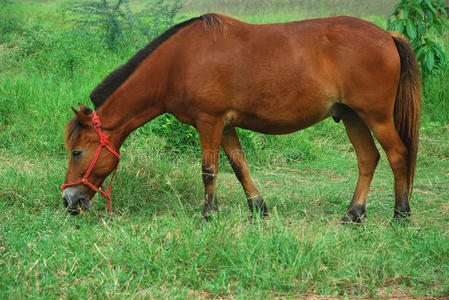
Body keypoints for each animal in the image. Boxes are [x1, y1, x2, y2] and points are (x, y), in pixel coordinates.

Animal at [60, 12, 420, 221]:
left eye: (77, 152)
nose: (68, 199)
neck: (177, 63)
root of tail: (387, 35)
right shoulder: (226, 125)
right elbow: (238, 164)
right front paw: (257, 207)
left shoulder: (209, 121)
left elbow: (209, 170)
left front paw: (208, 214)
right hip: (352, 116)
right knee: (368, 158)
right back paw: (354, 213)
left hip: (375, 116)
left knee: (397, 155)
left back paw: (400, 213)